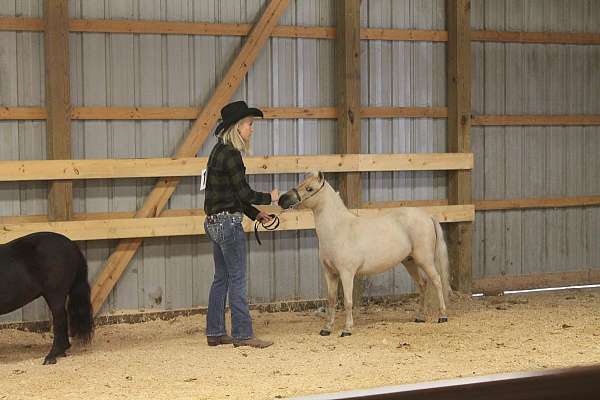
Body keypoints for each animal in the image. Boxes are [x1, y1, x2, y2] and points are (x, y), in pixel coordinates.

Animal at [280, 172, 450, 338]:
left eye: (309, 188)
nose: (282, 199)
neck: (338, 229)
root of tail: (428, 216)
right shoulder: (330, 273)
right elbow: (332, 300)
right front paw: (327, 328)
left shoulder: (347, 274)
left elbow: (348, 301)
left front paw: (347, 329)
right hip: (410, 262)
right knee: (423, 284)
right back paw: (420, 317)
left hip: (425, 260)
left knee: (437, 281)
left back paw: (442, 316)